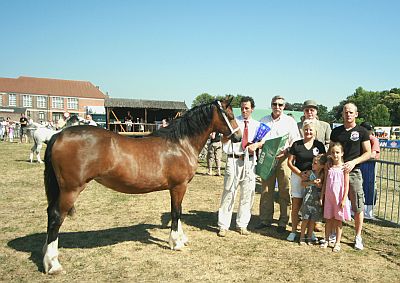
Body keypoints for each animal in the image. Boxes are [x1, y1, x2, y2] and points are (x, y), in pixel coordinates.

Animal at [41, 97, 241, 276]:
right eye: (230, 115)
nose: (239, 137)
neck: (180, 144)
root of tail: (57, 135)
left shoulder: (178, 187)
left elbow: (179, 211)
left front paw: (181, 239)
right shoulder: (179, 186)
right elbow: (176, 212)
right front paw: (175, 242)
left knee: (50, 214)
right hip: (70, 190)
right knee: (56, 217)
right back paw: (53, 264)